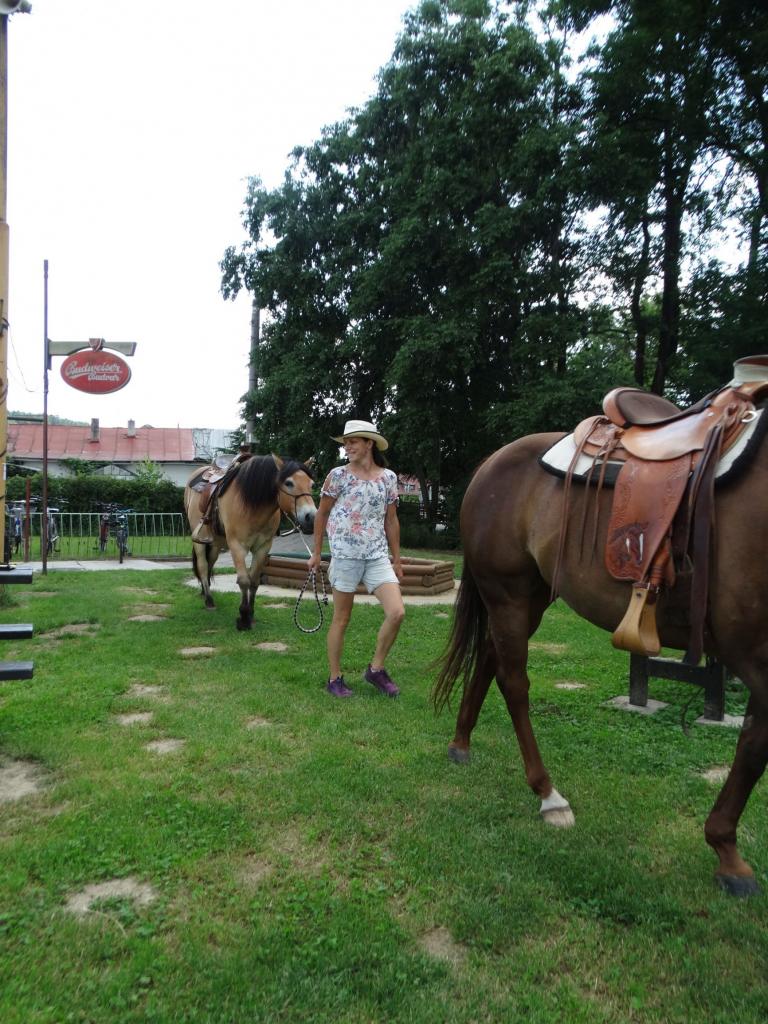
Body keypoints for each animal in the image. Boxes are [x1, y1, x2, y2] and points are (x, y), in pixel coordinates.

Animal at [184, 454, 316, 631]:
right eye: (289, 483)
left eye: (311, 484)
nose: (311, 517)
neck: (252, 505)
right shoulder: (237, 546)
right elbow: (244, 581)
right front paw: (244, 617)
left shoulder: (263, 547)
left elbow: (254, 581)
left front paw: (251, 614)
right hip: (199, 541)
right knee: (203, 566)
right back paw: (209, 600)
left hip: (215, 543)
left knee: (210, 563)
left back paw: (205, 592)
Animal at [433, 419, 768, 897]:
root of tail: (490, 463)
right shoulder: (757, 656)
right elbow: (755, 748)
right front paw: (727, 851)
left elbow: (752, 744)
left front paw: (728, 852)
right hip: (508, 595)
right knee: (514, 683)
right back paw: (548, 794)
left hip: (531, 598)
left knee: (490, 660)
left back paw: (461, 743)